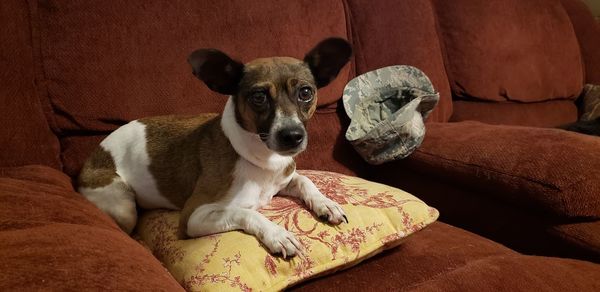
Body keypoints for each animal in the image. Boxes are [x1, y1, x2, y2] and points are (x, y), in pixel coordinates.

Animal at [78, 37, 354, 258]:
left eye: (306, 93)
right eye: (259, 97)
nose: (292, 136)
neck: (263, 159)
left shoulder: (286, 177)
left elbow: (306, 181)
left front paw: (326, 203)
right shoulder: (194, 216)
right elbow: (247, 213)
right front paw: (277, 234)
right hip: (124, 204)